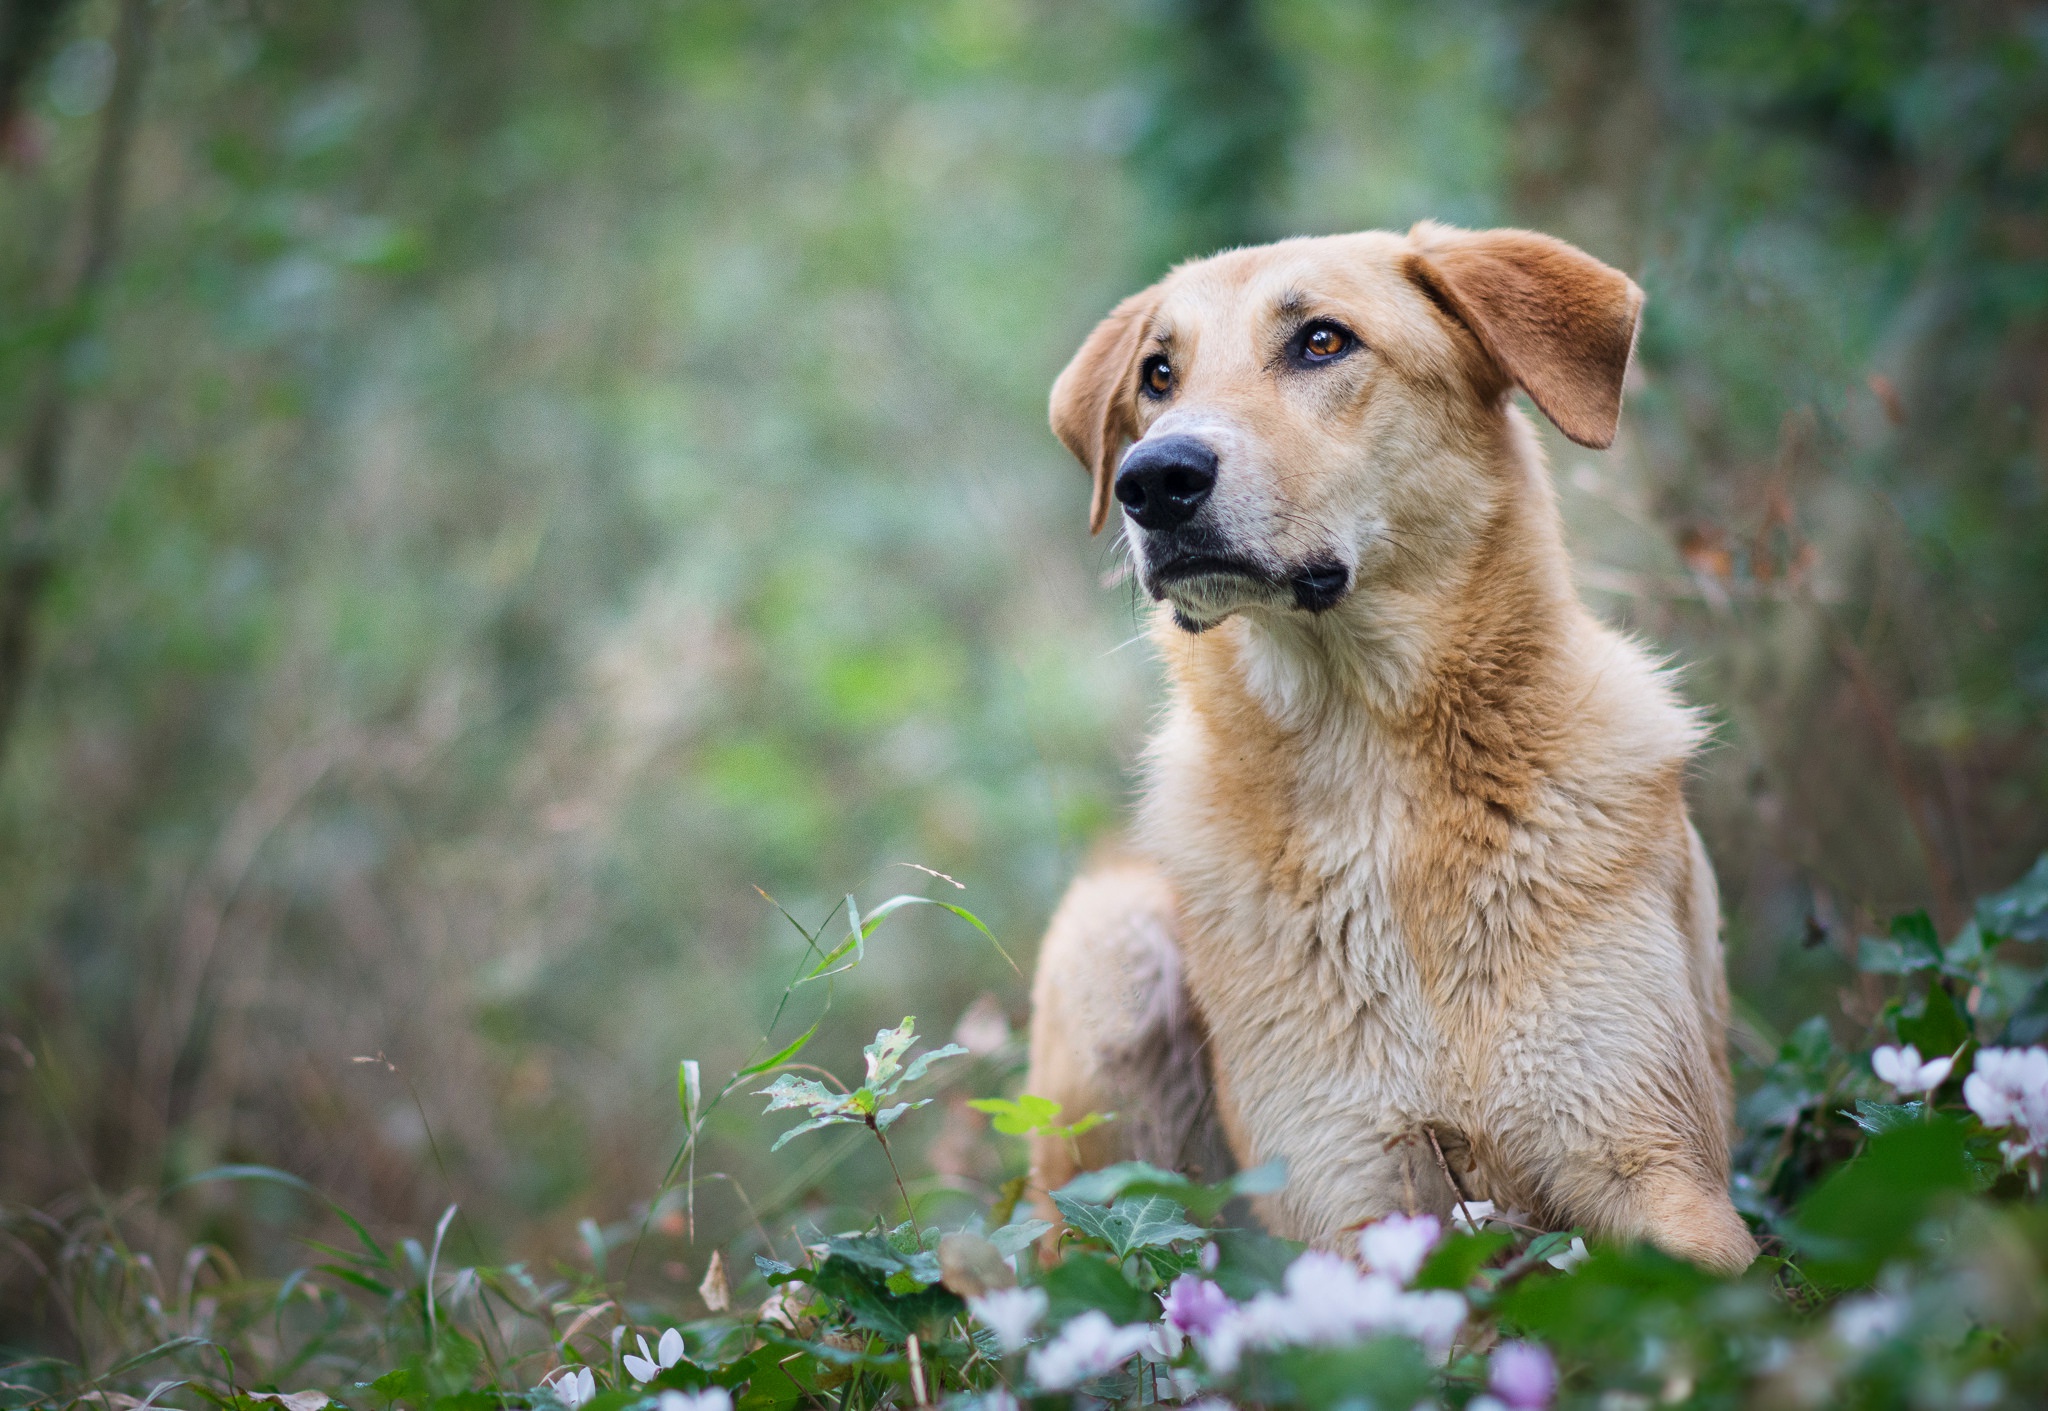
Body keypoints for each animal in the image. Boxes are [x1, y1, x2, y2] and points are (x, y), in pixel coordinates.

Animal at [1024, 223, 1761, 1277]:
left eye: (1323, 341)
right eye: (1159, 374)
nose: (1153, 479)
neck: (1369, 765)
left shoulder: (1654, 1159)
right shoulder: (1347, 1212)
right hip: (1108, 958)